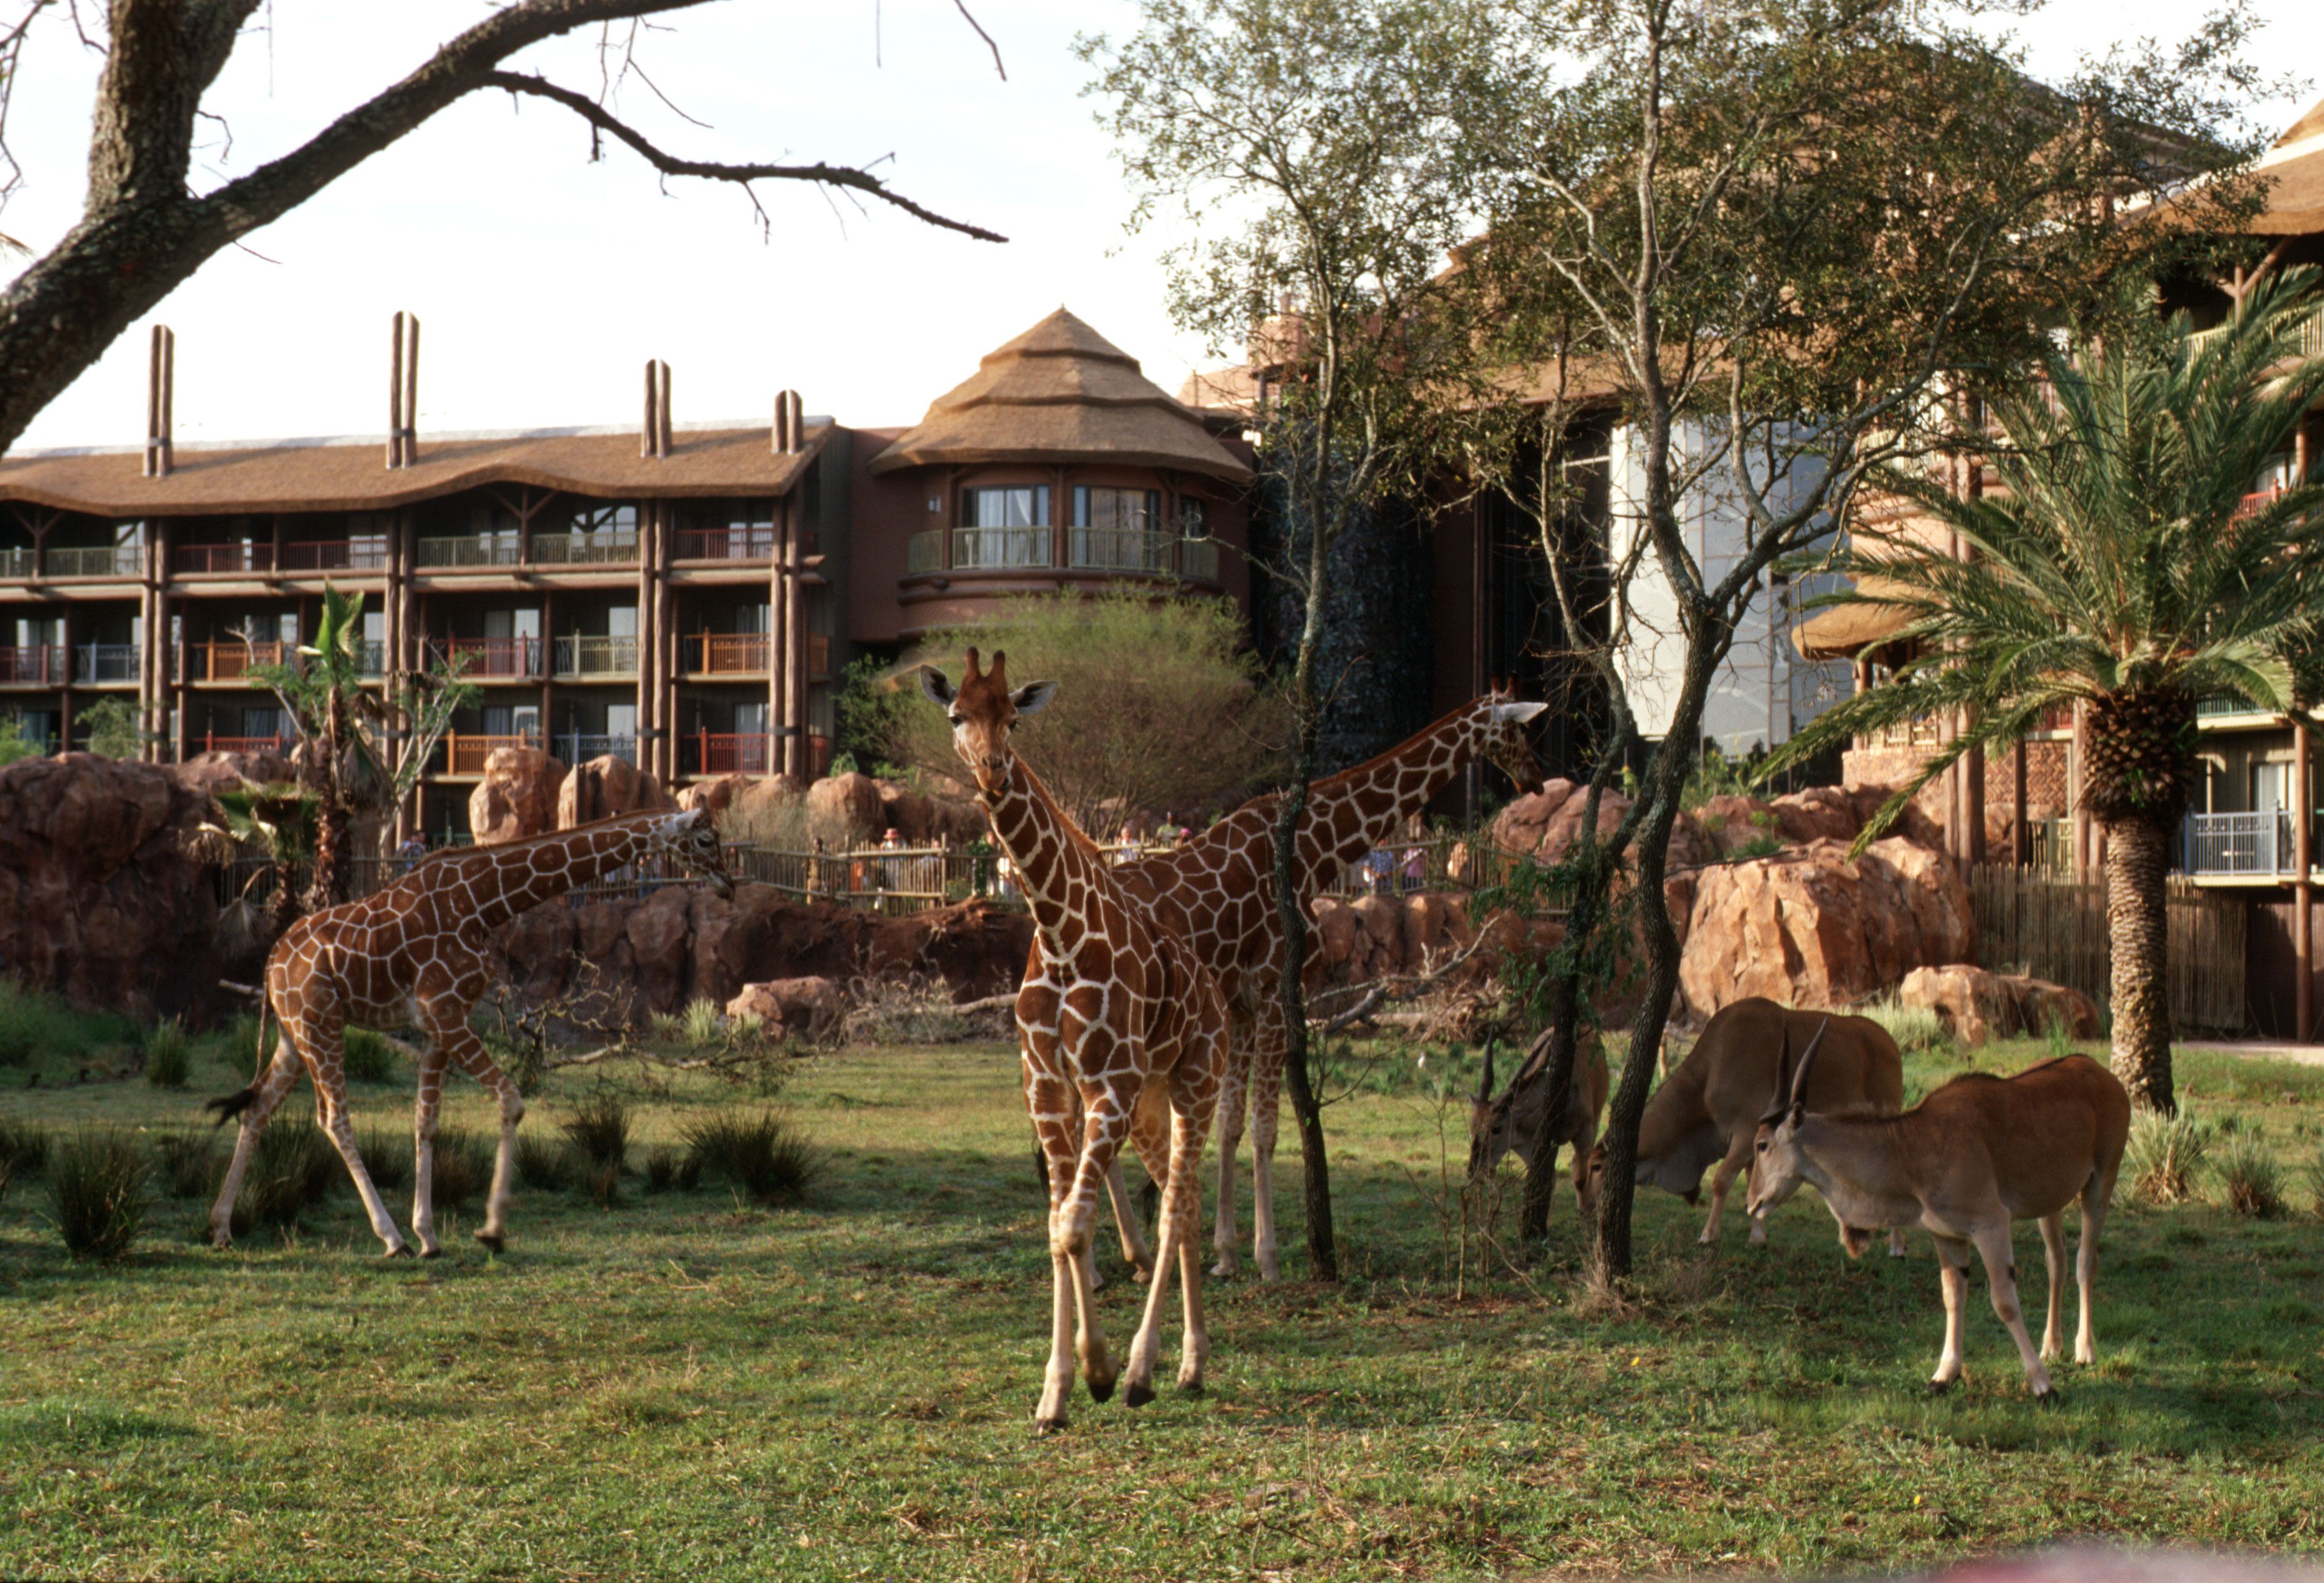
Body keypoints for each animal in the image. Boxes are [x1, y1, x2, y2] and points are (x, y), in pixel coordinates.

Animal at [205, 808, 733, 1257]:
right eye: (706, 839)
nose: (728, 884)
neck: (485, 902)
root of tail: (272, 962)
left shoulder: (438, 1026)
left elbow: (426, 1122)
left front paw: (430, 1236)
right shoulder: (447, 1013)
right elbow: (511, 1100)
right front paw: (491, 1230)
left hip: (294, 1035)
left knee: (258, 1108)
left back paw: (222, 1227)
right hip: (320, 1024)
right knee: (334, 1118)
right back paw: (390, 1238)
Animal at [920, 648, 1224, 1432]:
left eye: (1015, 717)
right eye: (955, 714)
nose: (993, 771)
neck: (1056, 931)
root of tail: (1211, 989)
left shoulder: (1106, 1085)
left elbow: (1078, 1226)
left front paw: (1099, 1371)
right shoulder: (1049, 1088)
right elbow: (1058, 1227)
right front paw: (1055, 1393)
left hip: (1195, 1081)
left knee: (1177, 1207)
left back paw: (1152, 1370)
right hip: (1150, 1100)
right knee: (1183, 1202)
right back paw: (1191, 1368)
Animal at [1066, 690, 1547, 1281]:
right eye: (1519, 730)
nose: (1536, 779)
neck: (1316, 846)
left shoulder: (1242, 1002)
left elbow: (1230, 1123)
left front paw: (1226, 1253)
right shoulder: (1274, 990)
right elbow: (1264, 1127)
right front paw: (1266, 1258)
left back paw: (1121, 1257)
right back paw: (1106, 1262)